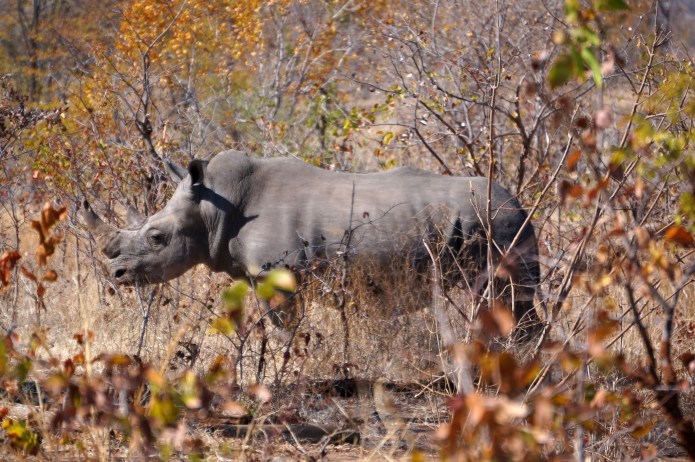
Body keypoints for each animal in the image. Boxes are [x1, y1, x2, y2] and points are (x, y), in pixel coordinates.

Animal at [81, 150, 540, 328]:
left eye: (157, 237)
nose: (117, 274)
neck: (214, 208)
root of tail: (518, 201)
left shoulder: (278, 276)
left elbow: (284, 330)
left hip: (498, 223)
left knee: (505, 298)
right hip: (495, 220)